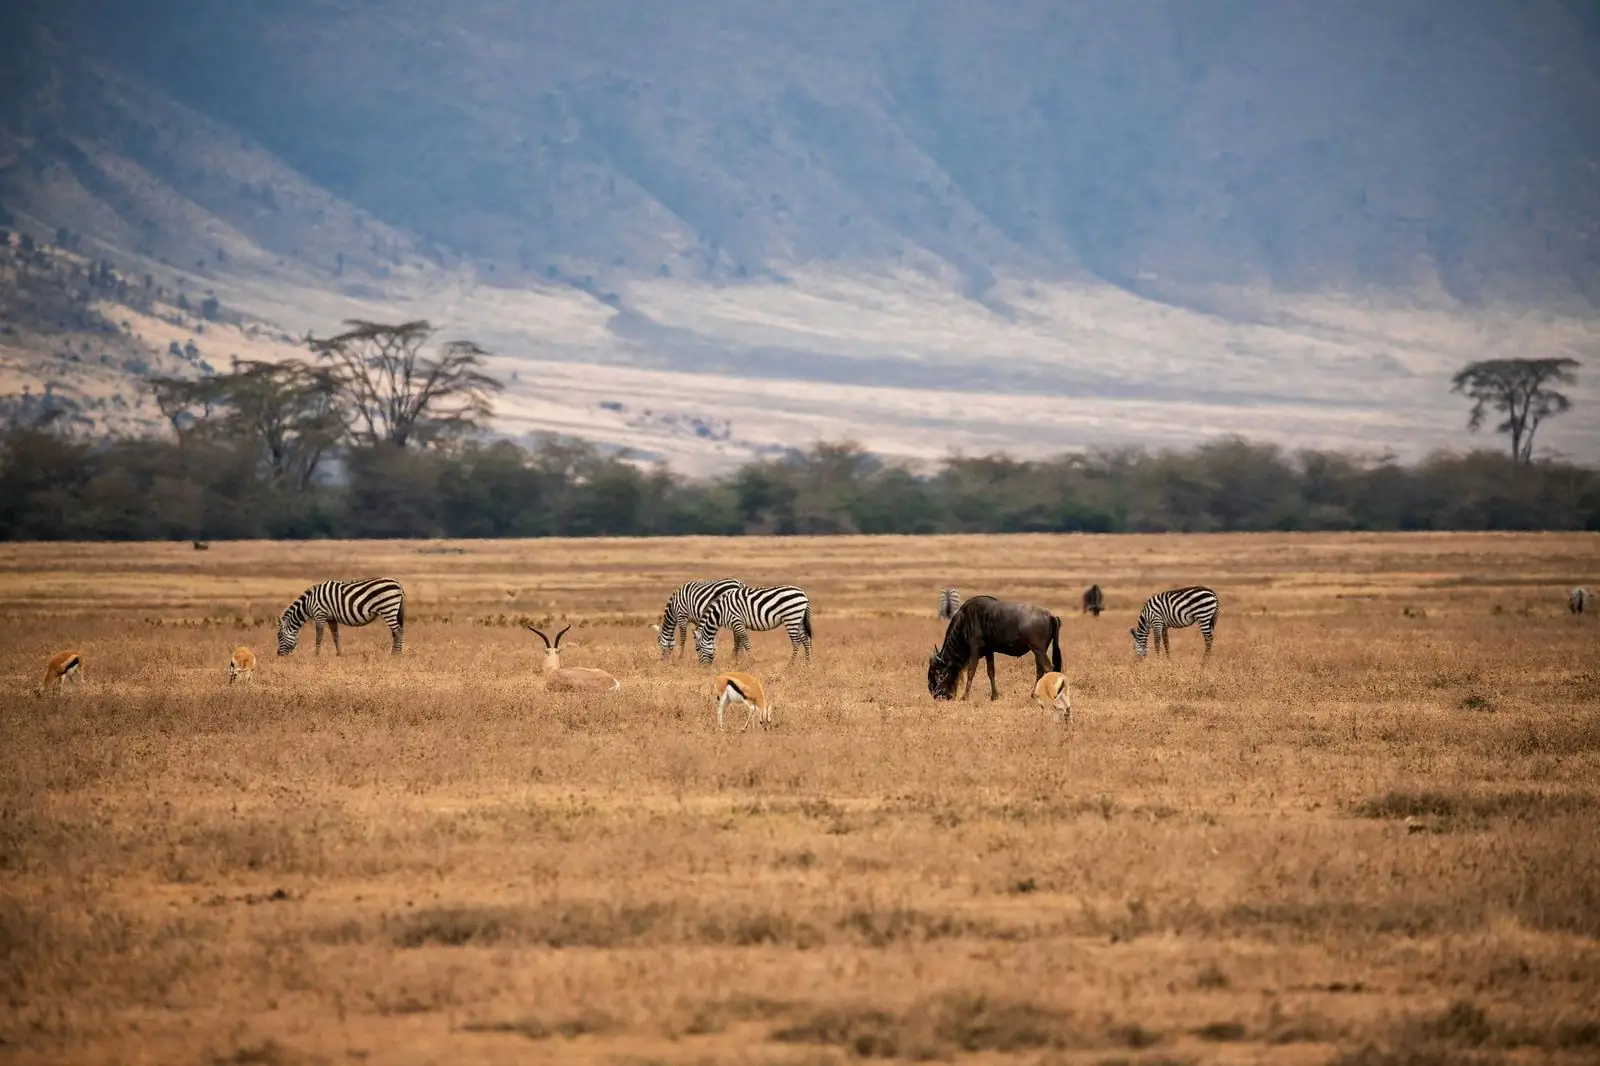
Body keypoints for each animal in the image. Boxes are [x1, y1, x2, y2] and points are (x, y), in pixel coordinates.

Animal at [277, 578, 406, 656]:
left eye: (279, 637)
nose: (278, 655)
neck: (309, 603)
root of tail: (397, 583)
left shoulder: (320, 614)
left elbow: (319, 636)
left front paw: (316, 655)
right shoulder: (331, 618)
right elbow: (336, 636)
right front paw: (340, 654)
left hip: (388, 608)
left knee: (398, 631)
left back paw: (396, 655)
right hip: (391, 611)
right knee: (395, 632)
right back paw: (394, 653)